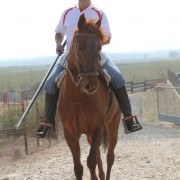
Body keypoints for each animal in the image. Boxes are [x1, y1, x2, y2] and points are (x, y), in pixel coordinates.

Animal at [57, 14, 121, 180]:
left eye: (99, 48)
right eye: (79, 48)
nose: (91, 84)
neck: (77, 98)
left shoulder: (97, 128)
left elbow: (91, 161)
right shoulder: (70, 133)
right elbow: (78, 167)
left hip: (113, 124)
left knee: (109, 156)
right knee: (99, 154)